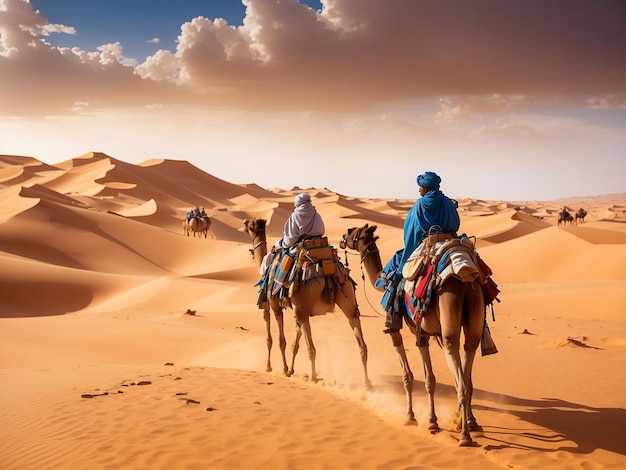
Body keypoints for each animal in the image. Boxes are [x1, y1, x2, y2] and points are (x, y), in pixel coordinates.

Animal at [243, 218, 370, 390]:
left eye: (250, 226)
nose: (245, 222)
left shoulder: (273, 303)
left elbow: (278, 339)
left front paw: (278, 368)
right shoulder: (297, 308)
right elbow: (294, 344)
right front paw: (290, 370)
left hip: (304, 303)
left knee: (312, 348)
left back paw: (313, 378)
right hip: (345, 292)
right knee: (360, 338)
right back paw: (367, 384)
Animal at [342, 224, 482, 448]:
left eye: (352, 231)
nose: (342, 238)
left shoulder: (404, 329)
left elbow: (414, 377)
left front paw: (415, 417)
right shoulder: (423, 334)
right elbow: (429, 378)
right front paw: (434, 419)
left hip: (448, 312)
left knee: (458, 371)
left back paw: (464, 436)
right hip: (474, 313)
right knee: (469, 361)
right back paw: (468, 421)